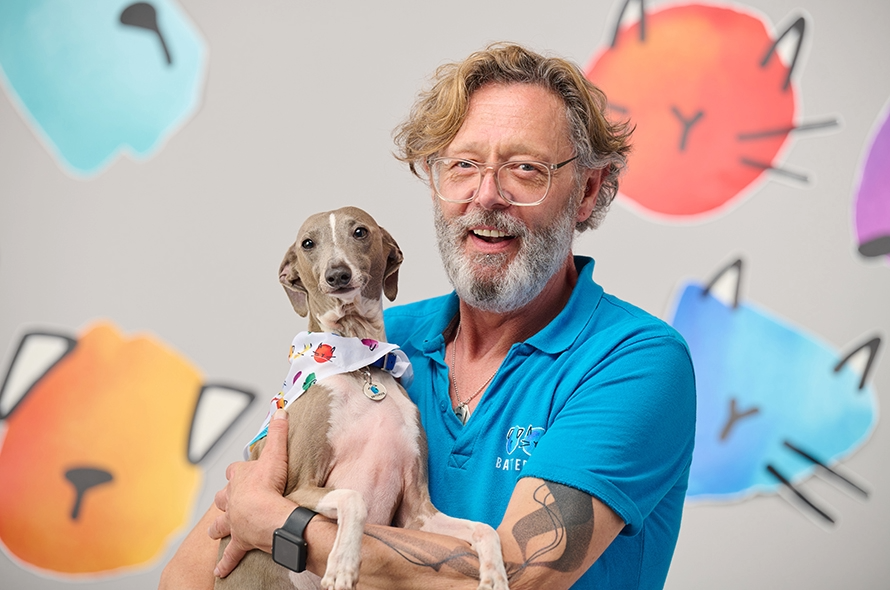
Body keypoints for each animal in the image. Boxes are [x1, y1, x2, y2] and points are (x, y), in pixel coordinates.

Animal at [215, 206, 506, 588]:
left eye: (360, 232)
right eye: (308, 243)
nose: (337, 274)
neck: (361, 364)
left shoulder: (417, 513)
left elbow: (485, 528)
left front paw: (495, 574)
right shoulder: (297, 489)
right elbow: (354, 499)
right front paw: (343, 563)